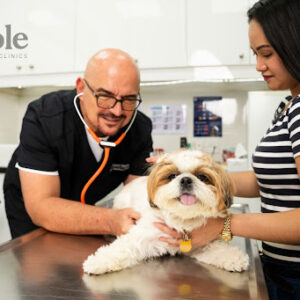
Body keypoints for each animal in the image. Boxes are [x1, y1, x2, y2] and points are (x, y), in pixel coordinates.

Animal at [82, 150, 248, 274]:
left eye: (202, 177)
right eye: (172, 176)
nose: (186, 180)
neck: (182, 219)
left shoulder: (202, 242)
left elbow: (217, 248)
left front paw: (234, 257)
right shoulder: (143, 235)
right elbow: (122, 248)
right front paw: (97, 261)